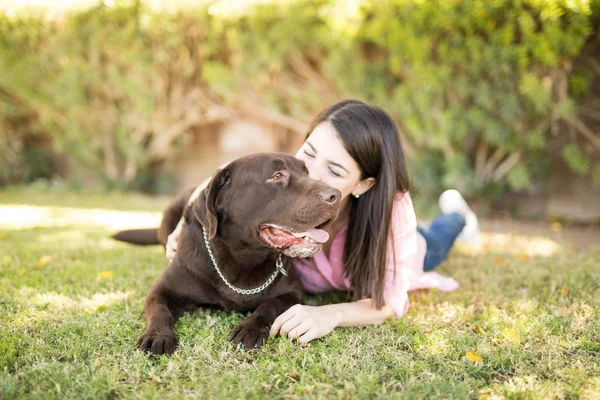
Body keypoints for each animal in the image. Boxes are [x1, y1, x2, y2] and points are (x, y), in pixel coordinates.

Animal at [112, 152, 340, 354]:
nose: (335, 195)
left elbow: (270, 304)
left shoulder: (292, 292)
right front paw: (157, 336)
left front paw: (249, 329)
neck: (243, 260)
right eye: (277, 175)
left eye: (307, 173)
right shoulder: (162, 289)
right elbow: (160, 311)